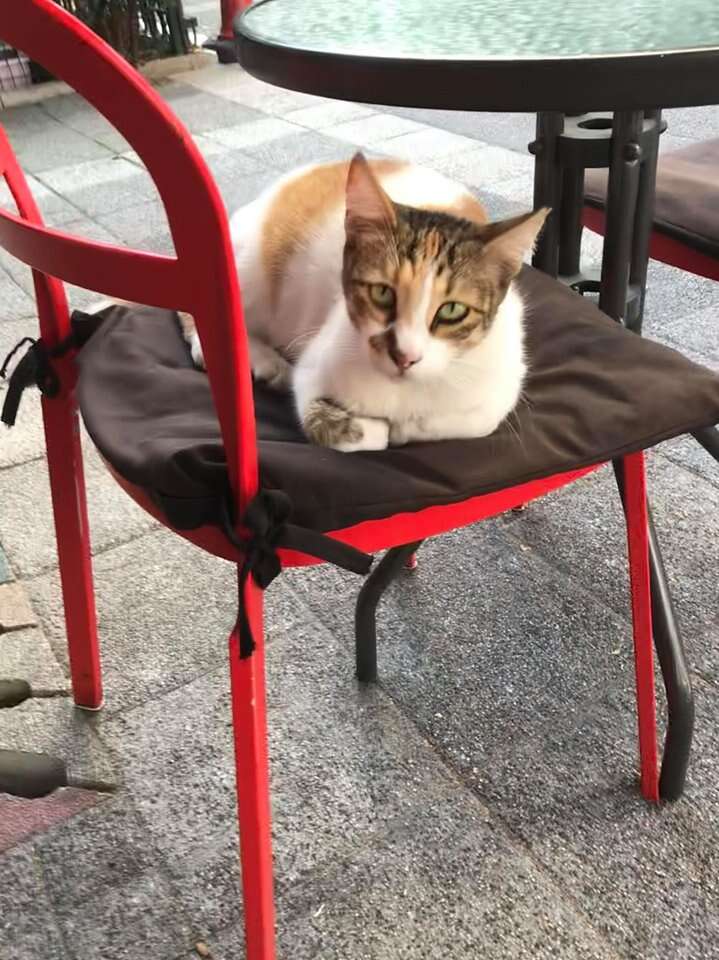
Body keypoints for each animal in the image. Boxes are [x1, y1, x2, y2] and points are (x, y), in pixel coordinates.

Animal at [179, 152, 544, 452]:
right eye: (382, 292)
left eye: (452, 310)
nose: (404, 356)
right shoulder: (313, 374)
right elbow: (350, 429)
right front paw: (376, 428)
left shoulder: (499, 389)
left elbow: (461, 421)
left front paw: (405, 426)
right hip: (247, 265)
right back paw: (264, 362)